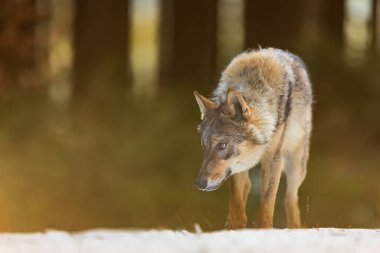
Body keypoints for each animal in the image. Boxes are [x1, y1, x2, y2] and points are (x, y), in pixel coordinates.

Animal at [193, 47, 312, 229]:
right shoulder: (236, 165)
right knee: (248, 186)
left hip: (296, 166)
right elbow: (236, 199)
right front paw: (235, 226)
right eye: (204, 147)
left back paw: (294, 227)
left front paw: (263, 228)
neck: (254, 85)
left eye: (221, 145)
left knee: (291, 198)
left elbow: (267, 202)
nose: (199, 184)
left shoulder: (273, 159)